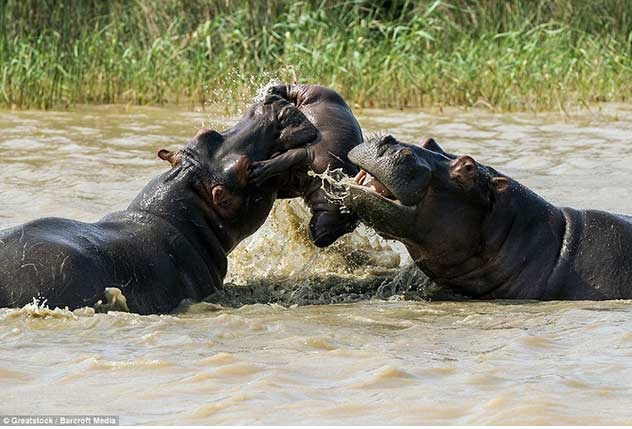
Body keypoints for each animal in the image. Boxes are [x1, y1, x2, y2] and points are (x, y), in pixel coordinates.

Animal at [249, 83, 362, 246]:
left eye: (351, 227)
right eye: (344, 214)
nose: (321, 241)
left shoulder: (297, 183)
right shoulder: (309, 154)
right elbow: (286, 158)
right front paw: (258, 171)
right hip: (310, 92)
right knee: (293, 88)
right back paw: (274, 90)